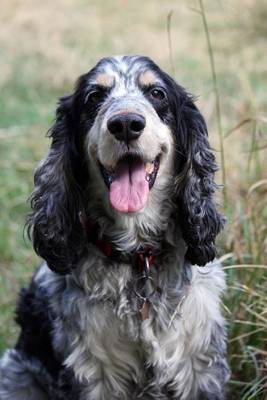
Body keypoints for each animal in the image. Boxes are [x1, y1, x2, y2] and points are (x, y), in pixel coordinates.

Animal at [0, 56, 230, 400]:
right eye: (94, 96)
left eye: (157, 93)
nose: (125, 124)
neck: (137, 258)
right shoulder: (92, 372)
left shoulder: (200, 363)